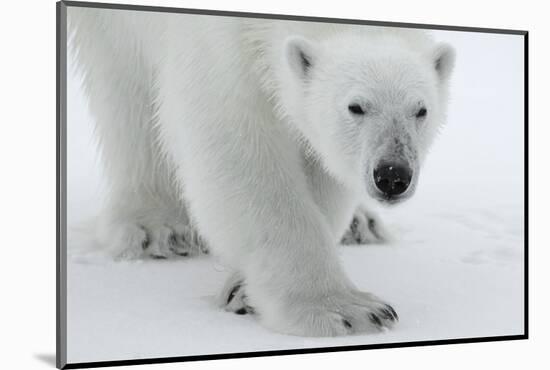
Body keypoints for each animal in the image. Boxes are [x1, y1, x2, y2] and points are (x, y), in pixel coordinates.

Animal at [69, 7, 458, 336]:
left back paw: (361, 224)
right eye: (355, 107)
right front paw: (343, 310)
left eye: (421, 110)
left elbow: (318, 159)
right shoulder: (214, 41)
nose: (392, 175)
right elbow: (235, 144)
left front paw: (243, 291)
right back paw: (158, 226)